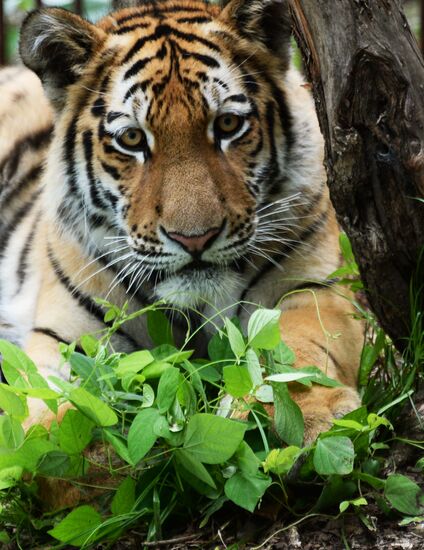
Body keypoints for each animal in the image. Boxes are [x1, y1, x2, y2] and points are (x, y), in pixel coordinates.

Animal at [0, 0, 362, 442]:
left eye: (227, 124)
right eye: (132, 139)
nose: (195, 239)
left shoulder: (317, 289)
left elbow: (296, 350)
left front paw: (305, 414)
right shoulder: (68, 336)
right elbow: (43, 399)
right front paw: (44, 436)